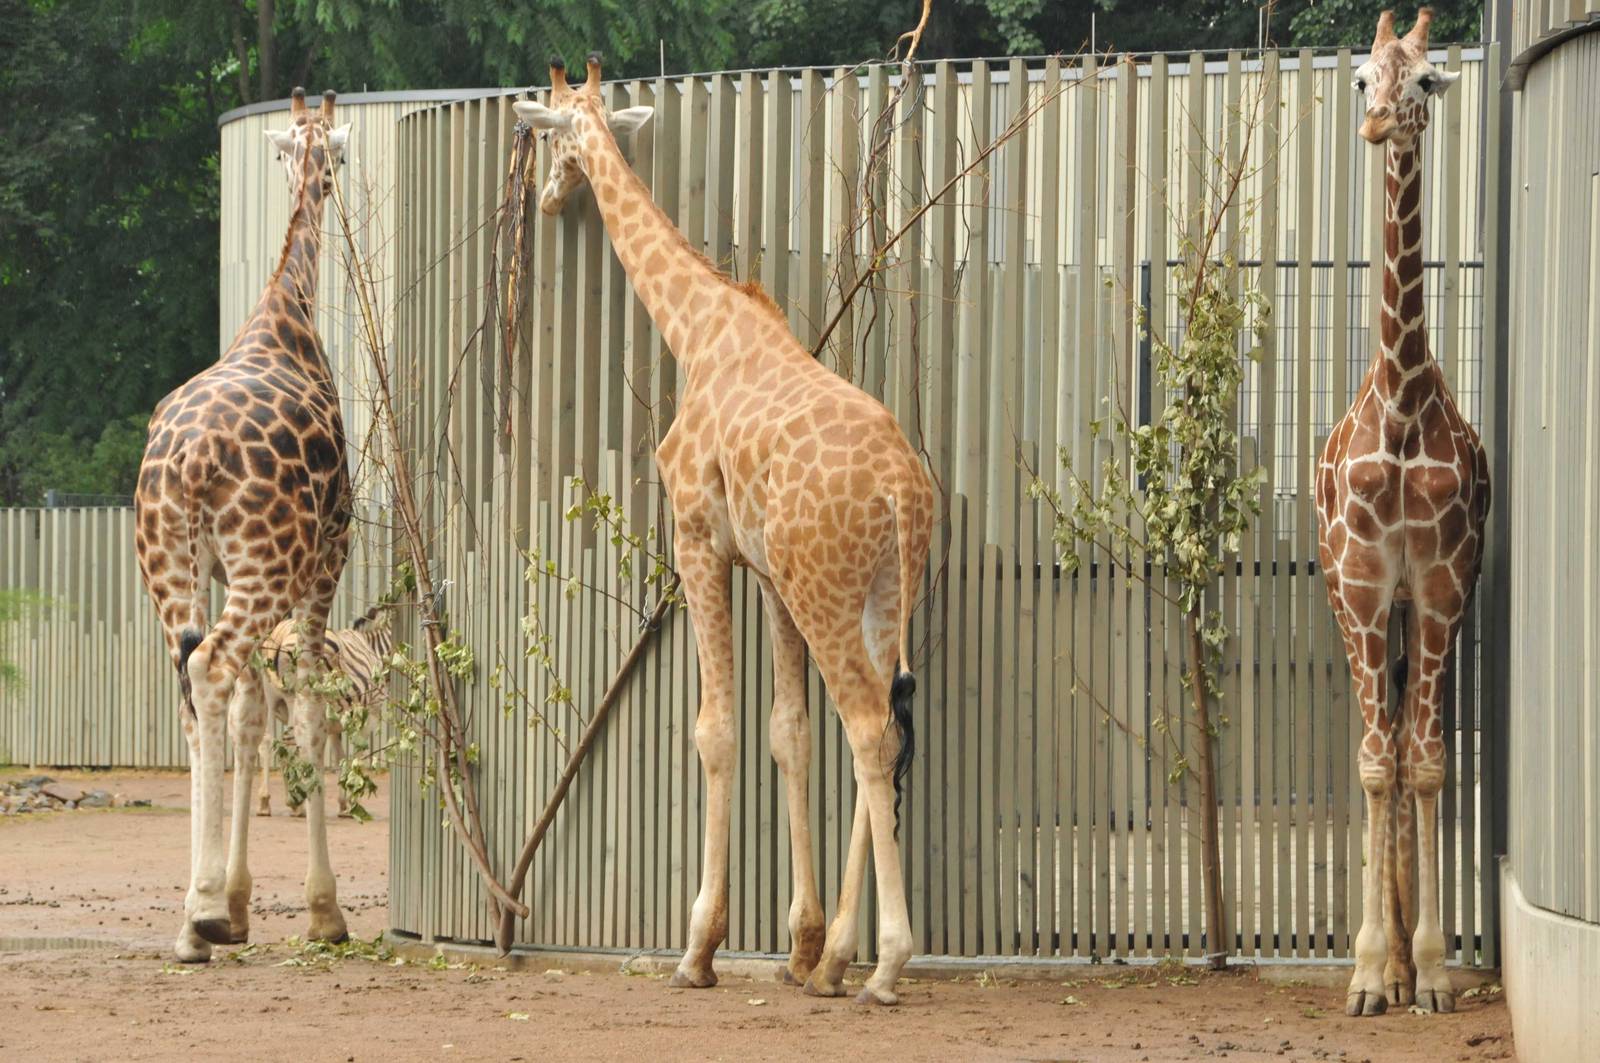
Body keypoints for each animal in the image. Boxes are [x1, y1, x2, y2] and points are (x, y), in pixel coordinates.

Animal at [134, 88, 355, 963]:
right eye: (335, 151)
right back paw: (198, 914)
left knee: (193, 688)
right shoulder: (323, 564)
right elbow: (310, 710)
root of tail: (191, 457)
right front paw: (323, 911)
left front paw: (238, 897)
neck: (284, 318)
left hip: (173, 565)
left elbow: (253, 716)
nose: (324, 175)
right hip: (262, 566)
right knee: (210, 667)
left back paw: (195, 921)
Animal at [513, 55, 934, 1005]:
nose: (549, 201)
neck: (696, 329)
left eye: (545, 134)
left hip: (828, 590)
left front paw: (700, 945)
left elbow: (717, 728)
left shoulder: (698, 538)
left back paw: (888, 963)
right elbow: (787, 732)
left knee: (867, 725)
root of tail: (902, 491)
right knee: (886, 728)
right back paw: (838, 959)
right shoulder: (769, 573)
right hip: (883, 593)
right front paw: (801, 942)